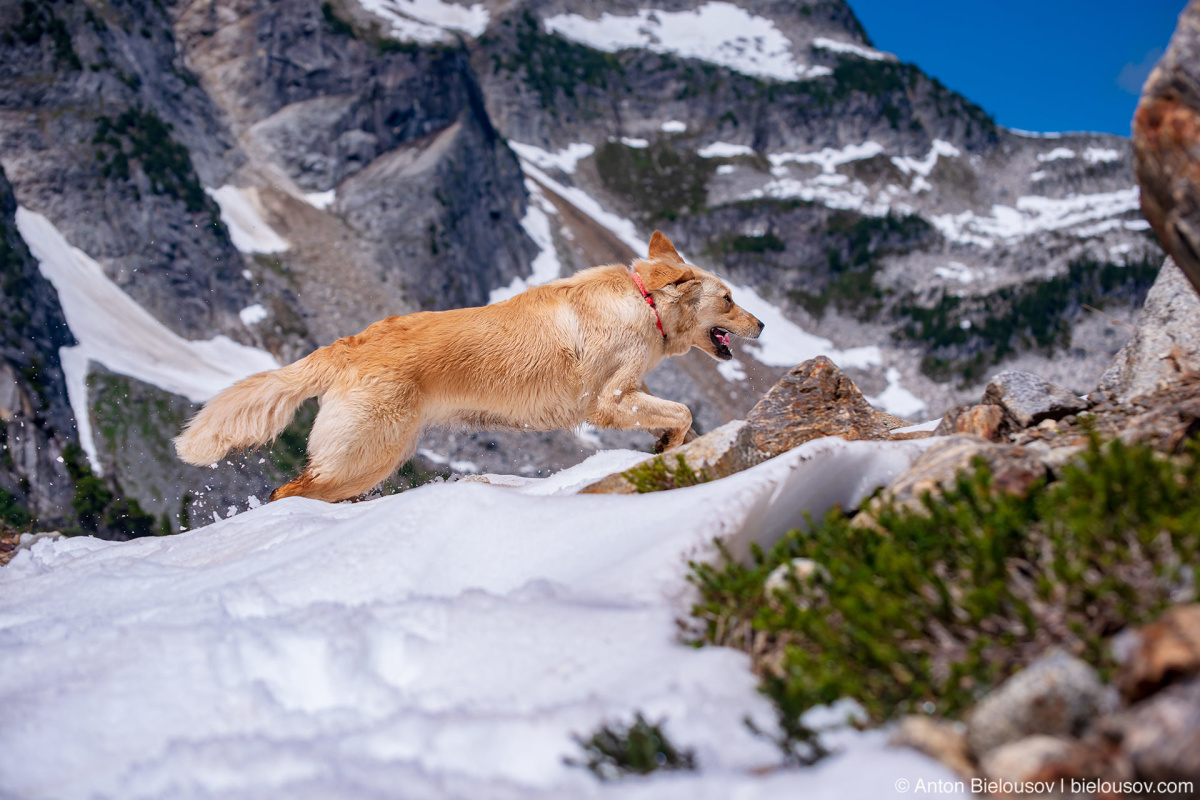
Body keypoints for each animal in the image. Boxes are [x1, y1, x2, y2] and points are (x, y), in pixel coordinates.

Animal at [174, 231, 763, 503]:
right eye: (729, 299)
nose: (761, 325)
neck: (643, 302)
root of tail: (347, 345)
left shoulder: (631, 393)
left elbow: (678, 419)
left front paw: (668, 448)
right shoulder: (608, 402)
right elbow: (683, 410)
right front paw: (670, 444)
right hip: (366, 455)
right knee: (287, 492)